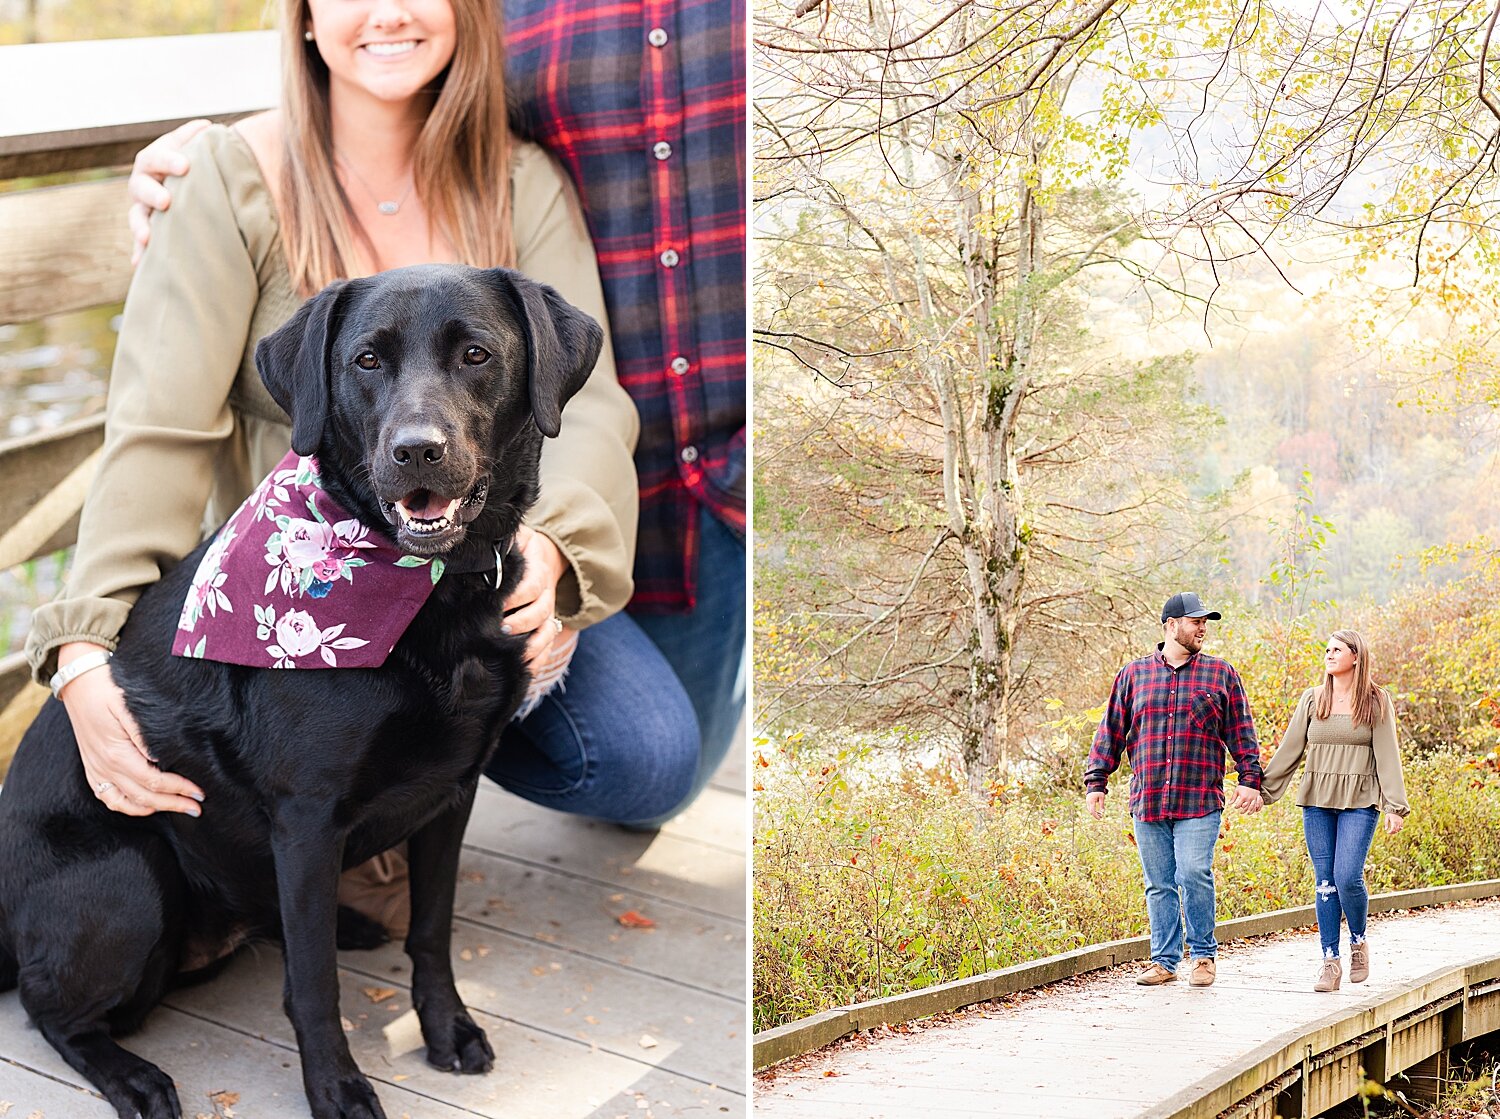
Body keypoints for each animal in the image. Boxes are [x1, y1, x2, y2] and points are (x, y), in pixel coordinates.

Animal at [0, 264, 603, 1116]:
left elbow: (433, 929)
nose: (417, 450)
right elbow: (313, 984)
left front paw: (445, 1028)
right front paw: (338, 1086)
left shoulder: (452, 791)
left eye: (477, 354)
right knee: (49, 1008)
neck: (433, 592)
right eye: (367, 361)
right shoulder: (308, 815)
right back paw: (136, 1076)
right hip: (129, 879)